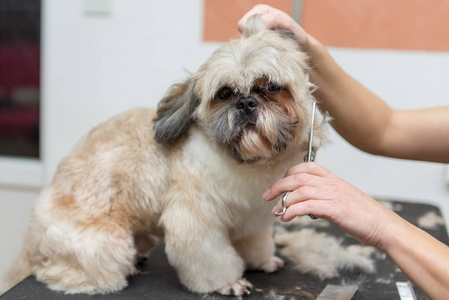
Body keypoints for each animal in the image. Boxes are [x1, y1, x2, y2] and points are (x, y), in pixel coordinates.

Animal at [2, 15, 326, 296]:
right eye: (224, 93)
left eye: (271, 87)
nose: (246, 103)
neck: (246, 162)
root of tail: (31, 241)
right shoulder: (195, 218)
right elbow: (209, 256)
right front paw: (228, 283)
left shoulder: (252, 218)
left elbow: (254, 242)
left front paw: (262, 261)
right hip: (104, 247)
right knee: (58, 271)